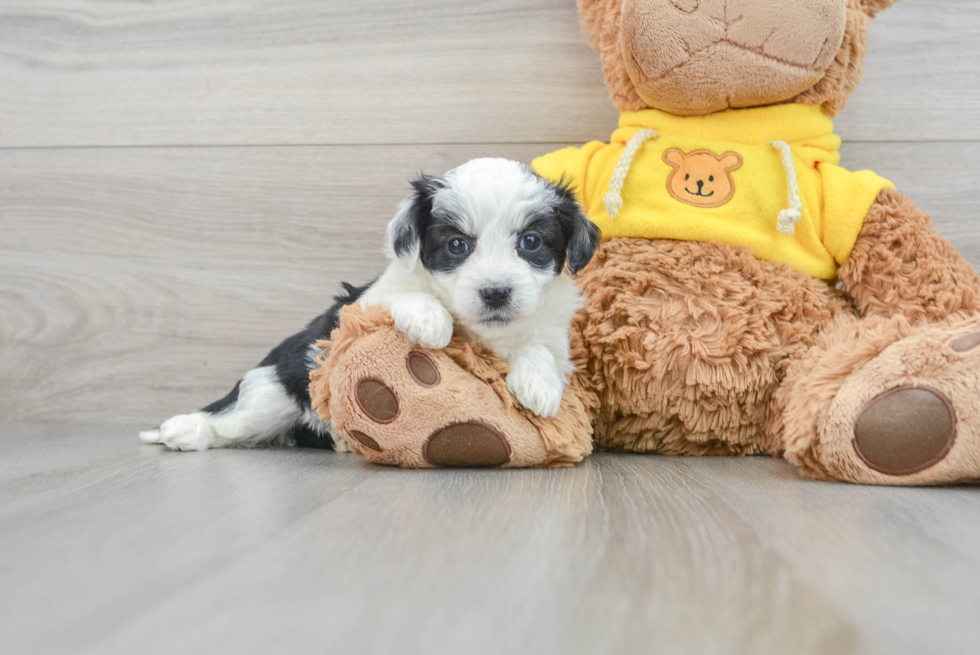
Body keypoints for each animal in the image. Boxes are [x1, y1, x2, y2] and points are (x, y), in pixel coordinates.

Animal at [138, 159, 596, 452]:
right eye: (456, 245)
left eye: (531, 242)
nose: (496, 292)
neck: (483, 334)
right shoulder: (364, 304)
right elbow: (402, 297)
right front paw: (431, 319)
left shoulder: (553, 333)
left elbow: (541, 349)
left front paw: (539, 385)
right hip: (271, 393)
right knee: (232, 418)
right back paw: (181, 431)